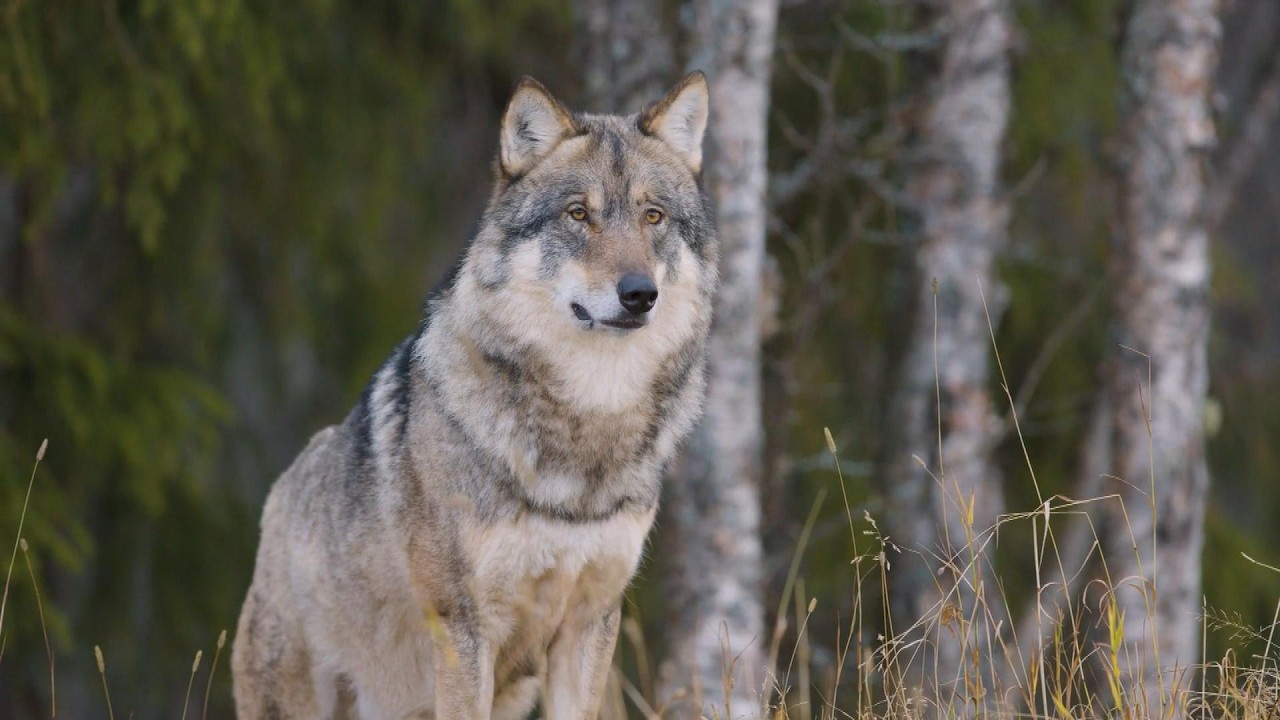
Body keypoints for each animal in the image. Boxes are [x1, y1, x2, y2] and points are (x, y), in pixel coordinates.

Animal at [231, 71, 716, 719]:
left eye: (654, 216)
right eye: (578, 214)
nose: (639, 293)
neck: (584, 426)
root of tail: (280, 495)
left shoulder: (590, 625)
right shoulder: (463, 628)